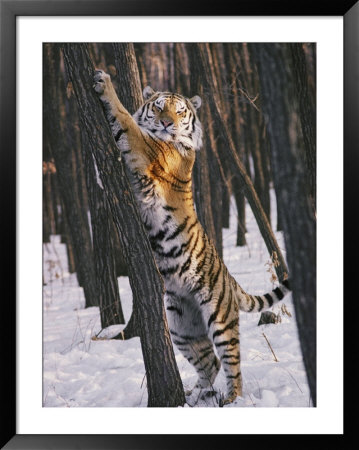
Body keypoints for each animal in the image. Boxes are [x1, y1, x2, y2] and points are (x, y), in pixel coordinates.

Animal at [93, 68, 292, 406]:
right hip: (181, 328)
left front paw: (104, 83)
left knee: (231, 362)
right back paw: (195, 395)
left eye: (180, 111)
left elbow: (125, 119)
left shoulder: (147, 149)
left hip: (220, 321)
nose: (166, 124)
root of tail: (231, 281)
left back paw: (232, 399)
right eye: (159, 107)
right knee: (209, 362)